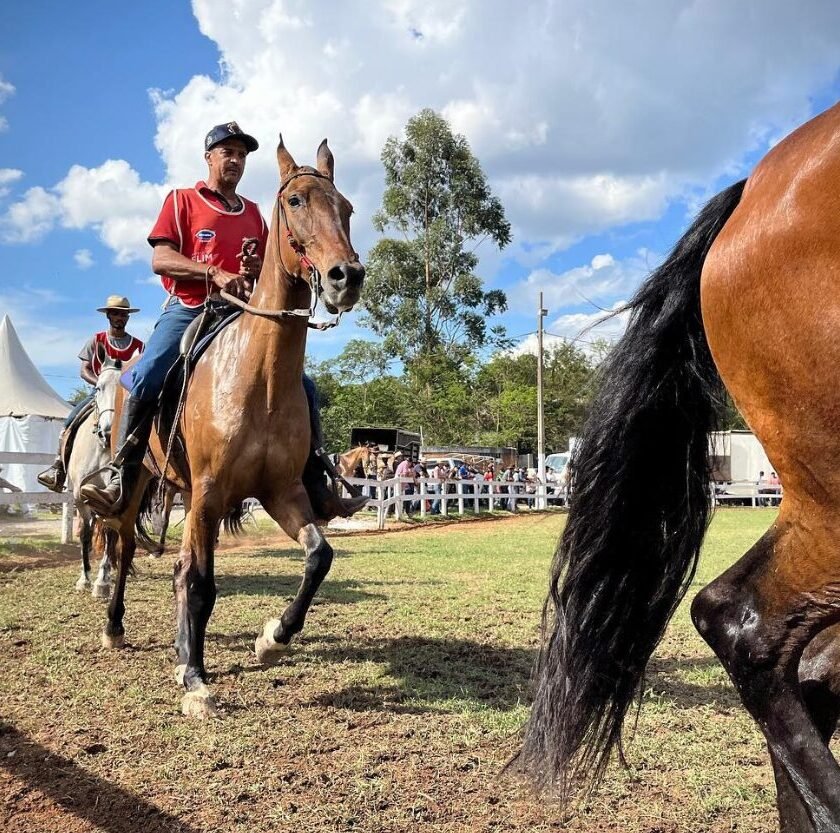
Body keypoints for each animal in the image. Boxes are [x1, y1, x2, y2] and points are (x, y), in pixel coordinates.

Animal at [94, 135, 364, 719]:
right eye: (296, 201)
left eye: (348, 208)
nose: (347, 277)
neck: (258, 378)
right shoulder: (210, 491)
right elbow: (200, 582)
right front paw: (197, 680)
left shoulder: (281, 492)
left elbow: (319, 557)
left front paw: (272, 640)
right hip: (145, 484)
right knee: (124, 546)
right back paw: (117, 627)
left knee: (173, 566)